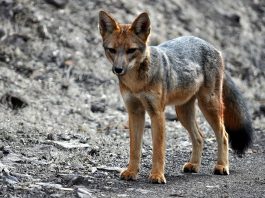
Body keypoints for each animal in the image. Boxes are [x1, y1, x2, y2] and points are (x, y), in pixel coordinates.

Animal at [97, 10, 252, 184]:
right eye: (112, 50)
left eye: (131, 50)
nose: (118, 69)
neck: (136, 83)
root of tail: (211, 46)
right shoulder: (135, 112)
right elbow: (134, 149)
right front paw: (131, 172)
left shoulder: (157, 113)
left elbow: (158, 150)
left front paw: (157, 175)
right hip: (183, 113)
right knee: (200, 137)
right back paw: (194, 165)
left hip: (208, 106)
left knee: (223, 135)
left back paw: (222, 166)